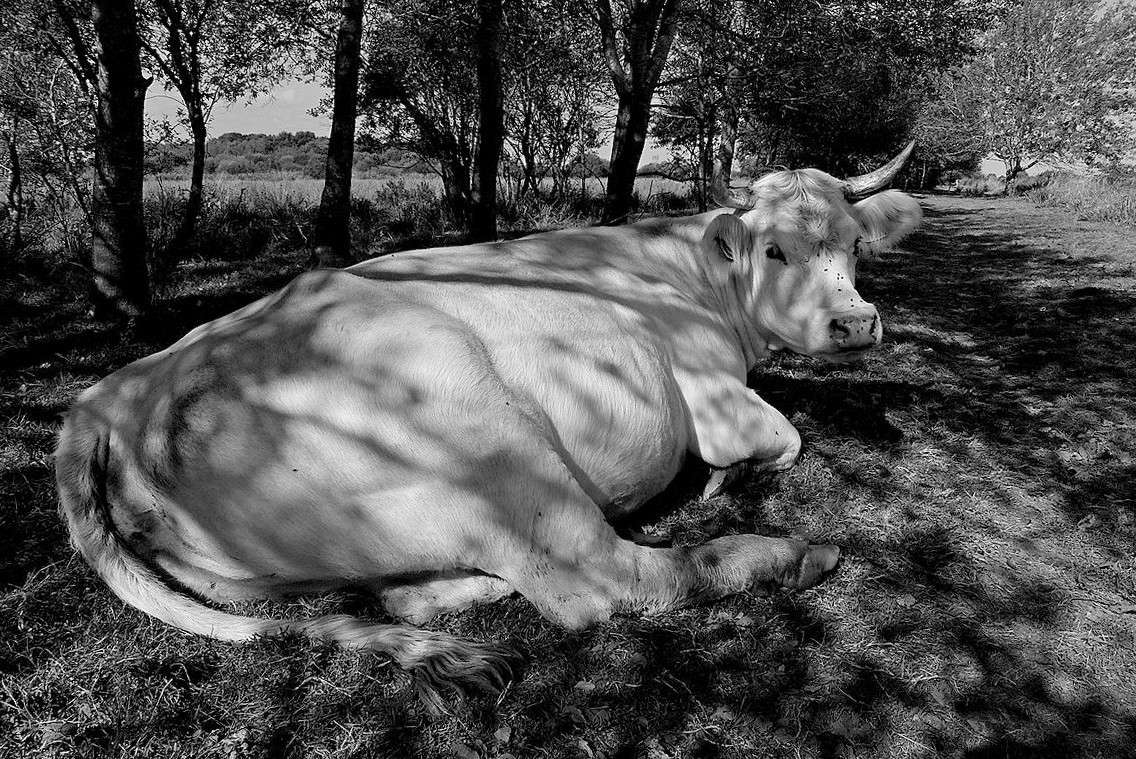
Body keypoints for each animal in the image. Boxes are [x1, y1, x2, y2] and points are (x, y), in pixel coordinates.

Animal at [55, 143, 922, 699]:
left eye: (855, 245)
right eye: (774, 250)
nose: (856, 324)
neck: (688, 272)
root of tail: (116, 391)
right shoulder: (710, 391)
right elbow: (782, 438)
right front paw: (722, 478)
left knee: (409, 600)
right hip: (492, 444)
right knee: (606, 583)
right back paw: (795, 552)